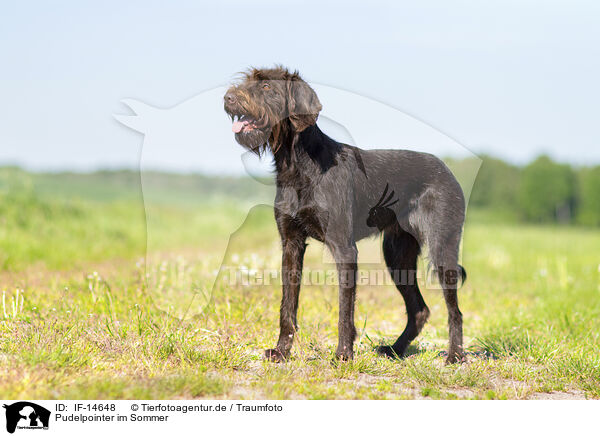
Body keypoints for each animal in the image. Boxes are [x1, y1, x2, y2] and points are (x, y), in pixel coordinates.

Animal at [225, 65, 468, 364]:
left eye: (267, 87)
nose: (228, 98)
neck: (298, 166)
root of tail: (447, 170)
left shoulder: (344, 248)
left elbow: (344, 310)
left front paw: (343, 354)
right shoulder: (291, 244)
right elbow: (287, 305)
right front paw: (282, 351)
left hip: (442, 248)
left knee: (454, 310)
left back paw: (455, 355)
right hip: (397, 256)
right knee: (419, 310)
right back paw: (395, 350)